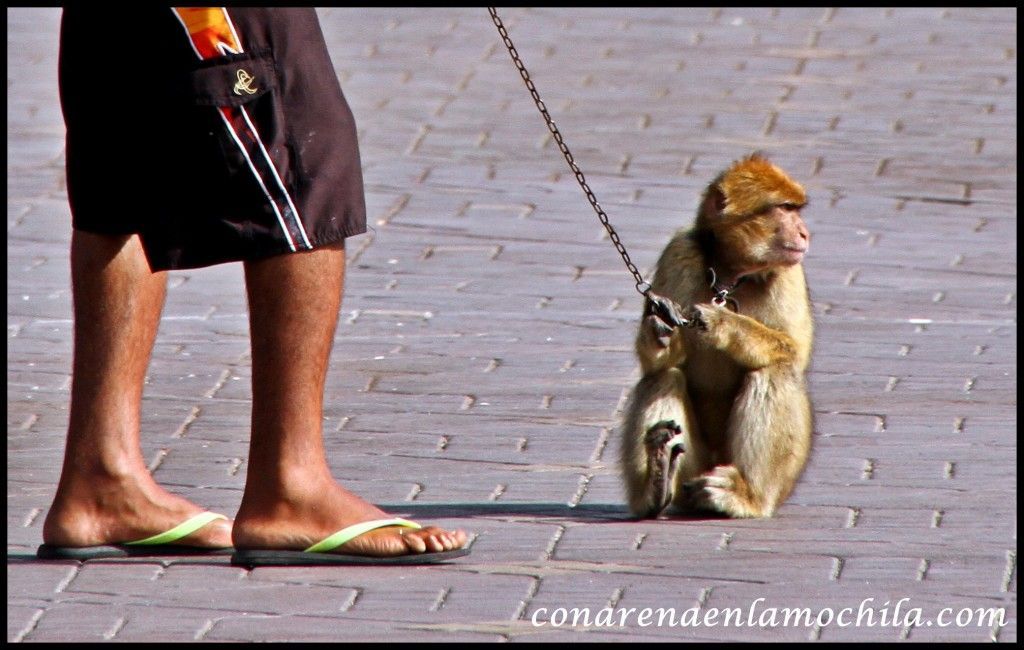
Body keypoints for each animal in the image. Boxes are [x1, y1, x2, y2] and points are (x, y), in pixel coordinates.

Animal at [614, 156, 815, 517]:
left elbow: (794, 350)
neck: (731, 276)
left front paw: (724, 324)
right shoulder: (680, 254)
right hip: (693, 470)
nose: (804, 232)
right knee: (662, 377)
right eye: (783, 209)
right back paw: (656, 484)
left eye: (794, 209)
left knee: (774, 370)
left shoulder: (790, 273)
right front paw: (659, 331)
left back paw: (747, 496)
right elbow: (660, 362)